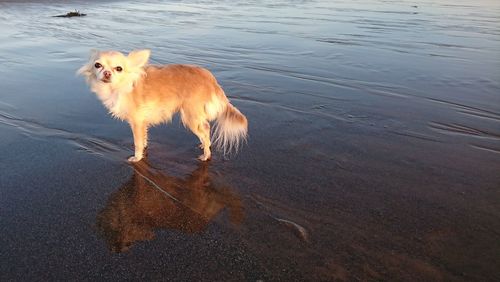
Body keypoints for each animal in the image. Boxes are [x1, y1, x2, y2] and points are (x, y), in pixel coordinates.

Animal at [78, 49, 248, 162]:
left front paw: (137, 158)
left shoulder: (136, 122)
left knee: (205, 130)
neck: (119, 86)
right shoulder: (143, 123)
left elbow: (137, 142)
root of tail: (210, 79)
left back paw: (206, 154)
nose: (107, 73)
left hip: (190, 116)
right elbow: (144, 138)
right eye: (97, 65)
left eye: (119, 69)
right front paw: (144, 149)